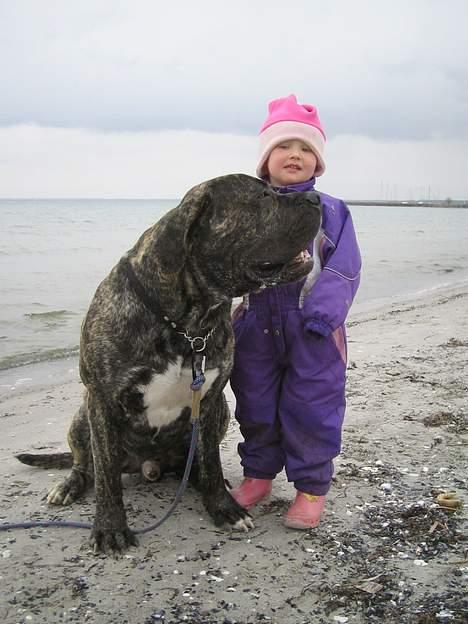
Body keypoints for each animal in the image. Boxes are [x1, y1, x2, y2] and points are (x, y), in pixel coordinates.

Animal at [15, 173, 322, 552]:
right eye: (262, 197)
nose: (316, 198)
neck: (188, 323)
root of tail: (147, 466)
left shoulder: (211, 400)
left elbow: (212, 461)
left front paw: (222, 507)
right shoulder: (101, 400)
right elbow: (105, 477)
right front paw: (110, 527)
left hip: (221, 414)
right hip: (81, 417)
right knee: (84, 464)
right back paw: (70, 484)